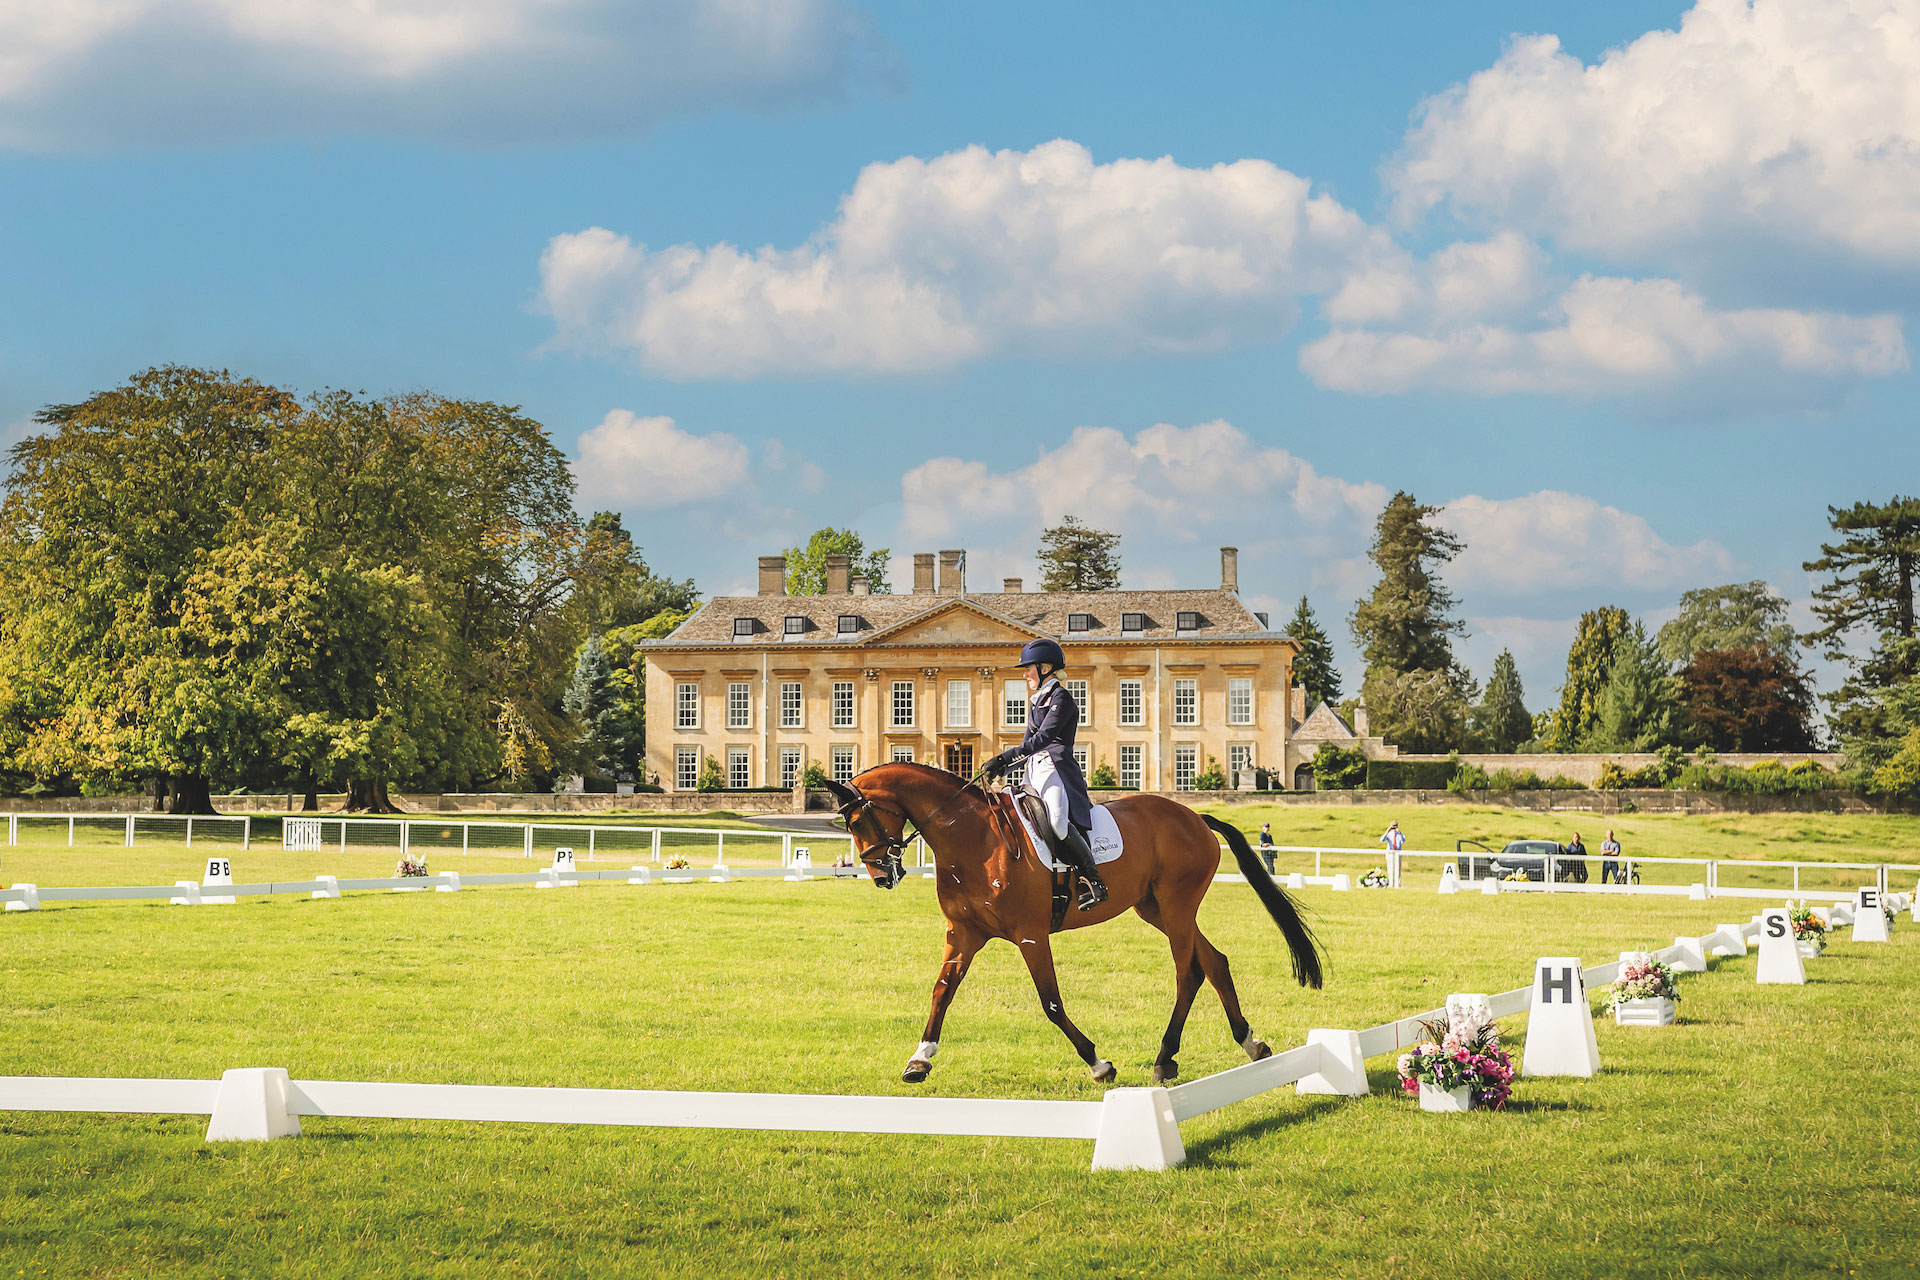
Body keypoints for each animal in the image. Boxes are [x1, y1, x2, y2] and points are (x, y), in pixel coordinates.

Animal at [823, 763, 1323, 1086]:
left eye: (858, 819)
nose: (881, 876)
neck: (973, 839)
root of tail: (1193, 815)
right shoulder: (962, 934)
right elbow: (941, 992)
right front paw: (919, 1060)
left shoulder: (1030, 935)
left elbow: (1051, 1003)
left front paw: (1098, 1063)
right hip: (1155, 909)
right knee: (1215, 962)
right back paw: (1251, 1044)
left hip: (1177, 905)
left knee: (1189, 972)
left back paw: (1165, 1058)